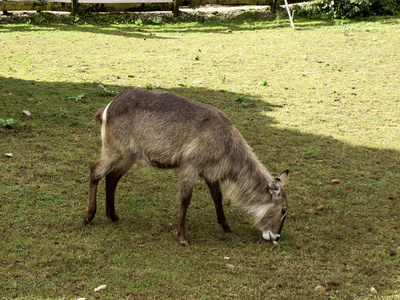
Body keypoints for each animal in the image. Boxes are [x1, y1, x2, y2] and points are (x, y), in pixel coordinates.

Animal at [85, 89, 290, 246]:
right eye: (284, 210)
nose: (276, 236)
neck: (226, 143)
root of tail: (107, 108)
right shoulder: (190, 165)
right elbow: (185, 199)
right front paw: (182, 237)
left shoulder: (210, 172)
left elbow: (217, 197)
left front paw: (226, 226)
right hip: (115, 150)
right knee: (95, 170)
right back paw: (89, 216)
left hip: (129, 156)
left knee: (112, 178)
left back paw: (114, 216)